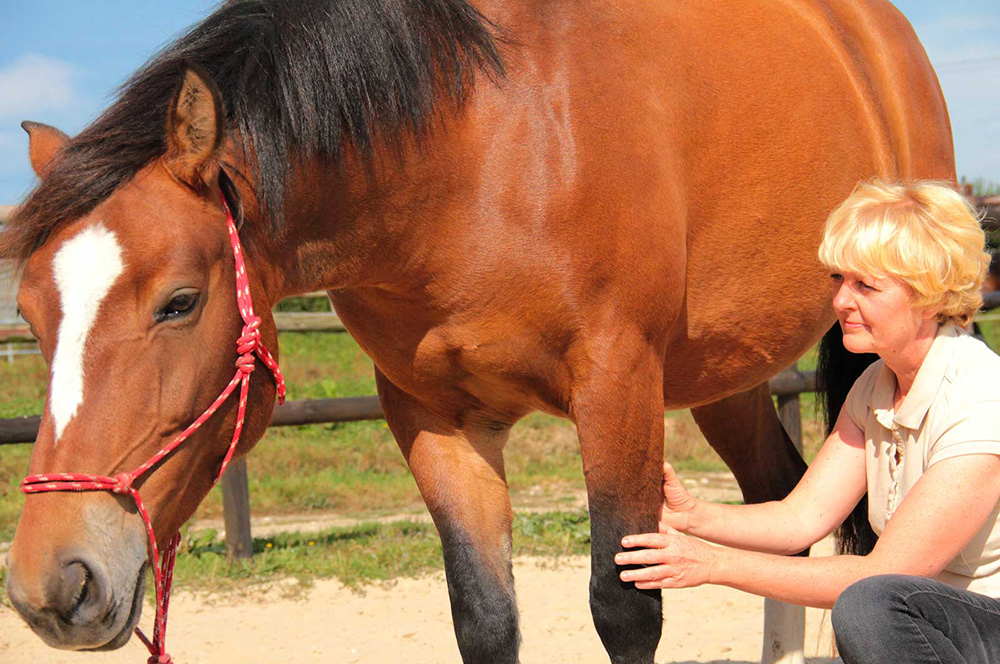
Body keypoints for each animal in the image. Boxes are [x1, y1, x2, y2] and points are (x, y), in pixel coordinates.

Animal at [0, 1, 952, 664]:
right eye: (33, 314)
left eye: (180, 302)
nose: (54, 583)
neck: (480, 147)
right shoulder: (434, 420)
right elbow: (486, 619)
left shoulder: (617, 387)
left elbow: (625, 608)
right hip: (727, 375)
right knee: (779, 504)